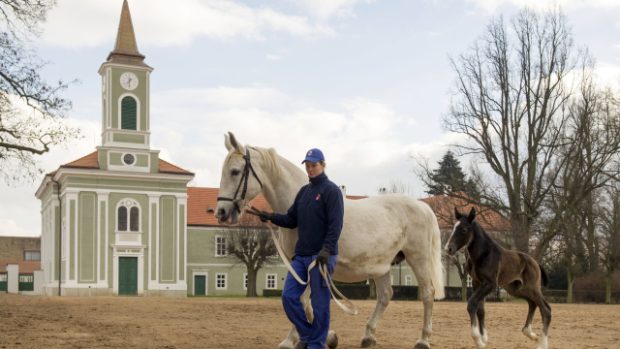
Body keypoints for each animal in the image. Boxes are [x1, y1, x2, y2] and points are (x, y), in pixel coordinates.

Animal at [216, 133, 444, 348]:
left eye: (235, 171)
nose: (221, 212)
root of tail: (423, 207)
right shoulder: (295, 264)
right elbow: (301, 302)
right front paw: (320, 337)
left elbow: (305, 301)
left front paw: (304, 339)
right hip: (382, 266)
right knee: (386, 295)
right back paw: (368, 336)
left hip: (418, 259)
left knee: (427, 293)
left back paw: (423, 340)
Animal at [446, 207, 552, 348]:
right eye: (453, 227)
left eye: (463, 229)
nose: (449, 248)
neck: (483, 254)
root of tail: (535, 262)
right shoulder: (476, 283)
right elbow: (481, 309)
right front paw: (484, 338)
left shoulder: (490, 284)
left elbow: (472, 304)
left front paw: (478, 340)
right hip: (516, 289)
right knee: (533, 303)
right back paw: (530, 334)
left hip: (532, 287)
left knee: (545, 309)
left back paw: (542, 343)